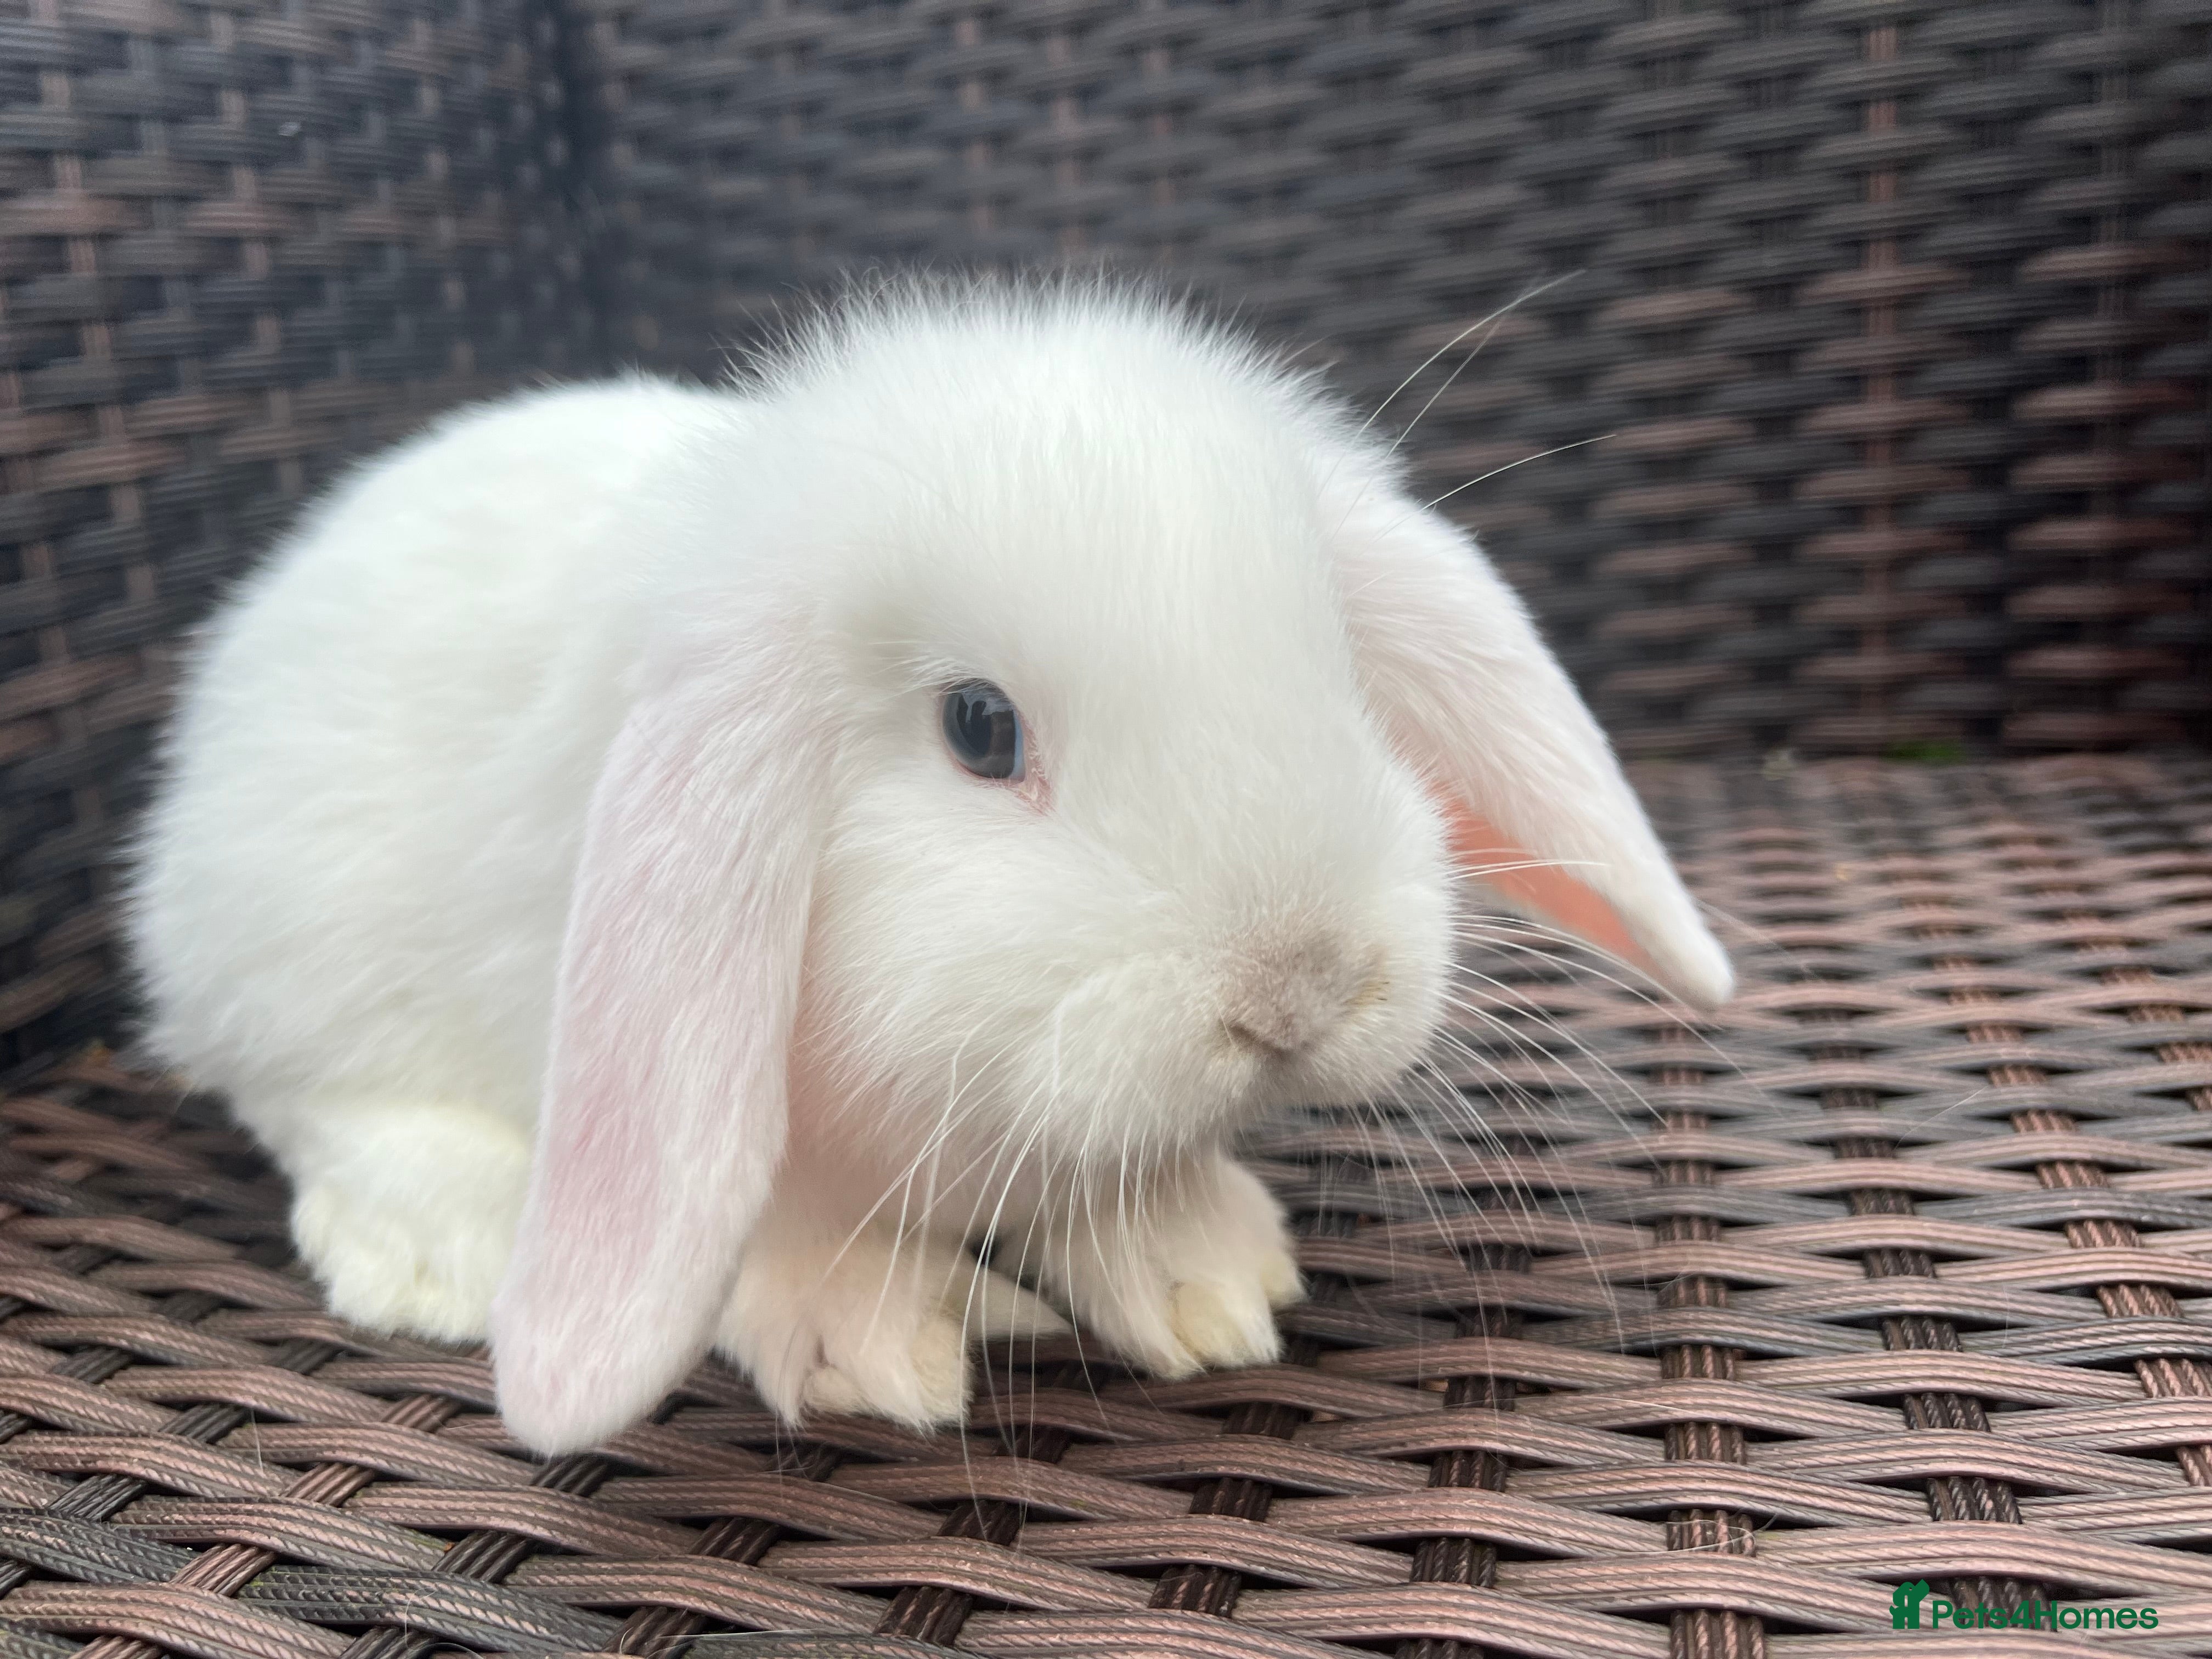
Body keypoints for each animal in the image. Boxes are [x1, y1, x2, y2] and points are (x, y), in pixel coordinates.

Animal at [126, 275, 1732, 1456]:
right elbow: (756, 1209)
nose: (1300, 990)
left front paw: (1207, 1277)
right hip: (284, 952)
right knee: (304, 1097)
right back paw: (441, 1252)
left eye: (1338, 670)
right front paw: (874, 1340)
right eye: (978, 727)